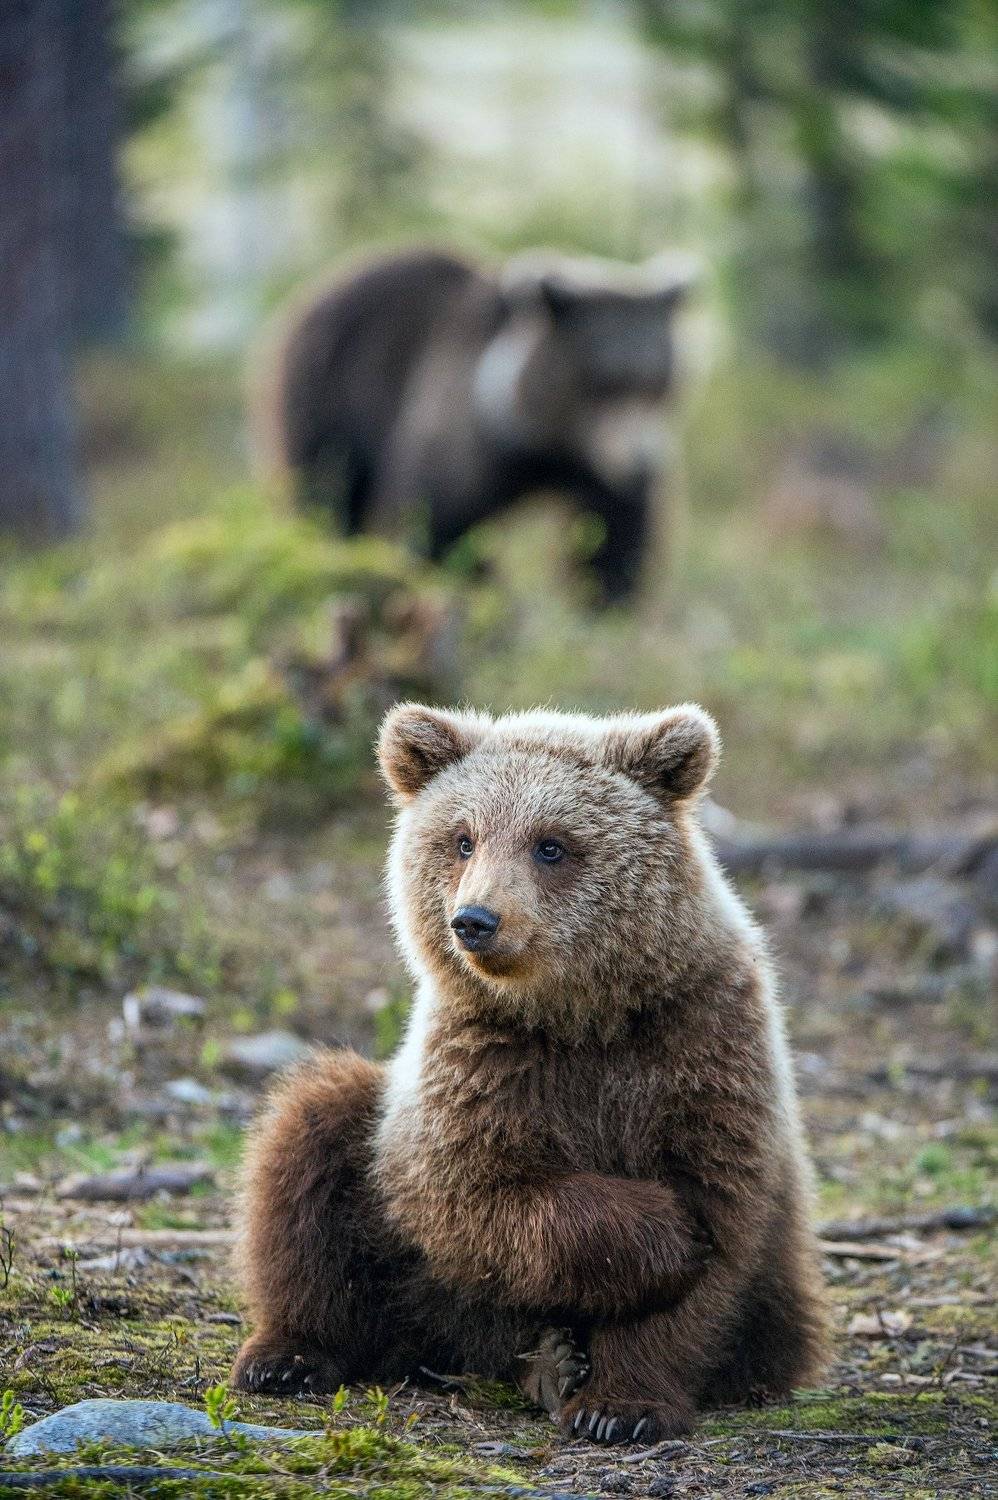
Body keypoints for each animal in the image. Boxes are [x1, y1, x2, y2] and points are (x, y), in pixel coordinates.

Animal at [231, 701, 829, 1442]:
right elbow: (473, 1192)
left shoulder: (700, 1044)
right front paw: (662, 1233)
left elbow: (714, 1226)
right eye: (463, 839)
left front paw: (620, 1405)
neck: (581, 1016)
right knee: (311, 1138)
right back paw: (289, 1355)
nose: (475, 920)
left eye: (551, 844)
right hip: (398, 1235)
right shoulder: (483, 1064)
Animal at [254, 246, 695, 604]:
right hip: (328, 395)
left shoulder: (595, 469)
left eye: (658, 382)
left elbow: (615, 534)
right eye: (606, 382)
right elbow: (438, 521)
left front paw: (607, 599)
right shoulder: (459, 435)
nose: (643, 460)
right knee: (325, 490)